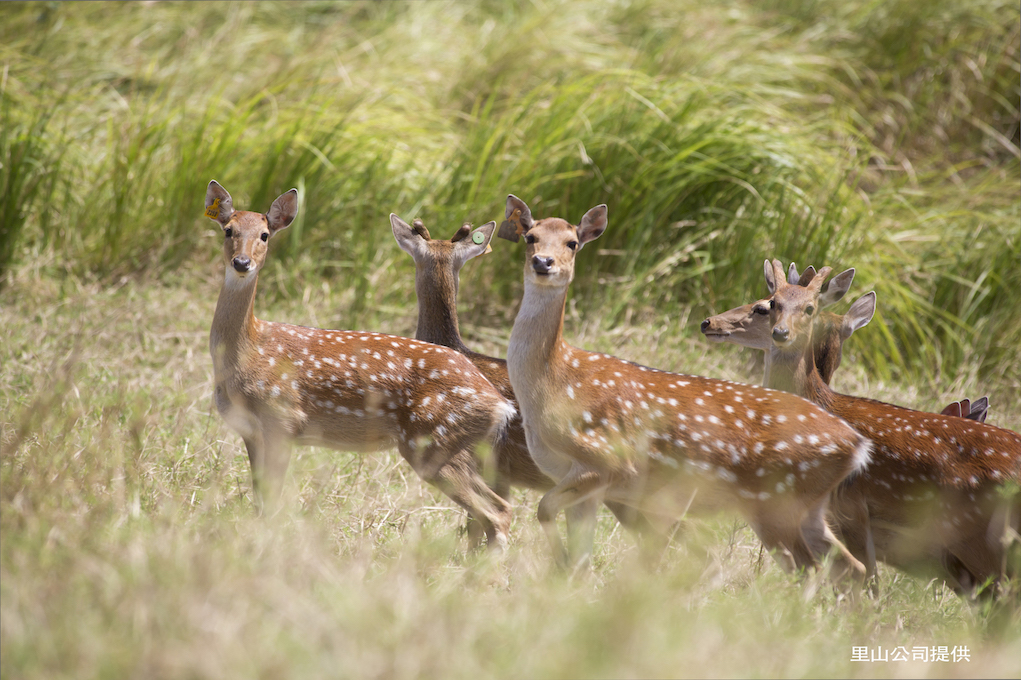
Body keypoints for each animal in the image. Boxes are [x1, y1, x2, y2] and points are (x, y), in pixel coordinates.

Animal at [205, 180, 518, 550]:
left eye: (265, 235)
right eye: (228, 230)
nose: (241, 263)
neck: (249, 351)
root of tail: (499, 404)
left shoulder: (282, 418)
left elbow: (272, 501)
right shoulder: (250, 432)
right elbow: (260, 501)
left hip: (433, 442)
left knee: (496, 511)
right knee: (496, 509)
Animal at [500, 194, 873, 578]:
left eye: (572, 243)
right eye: (530, 237)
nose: (543, 262)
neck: (555, 384)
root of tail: (858, 445)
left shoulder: (607, 461)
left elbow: (544, 509)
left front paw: (557, 562)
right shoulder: (580, 482)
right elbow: (579, 558)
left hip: (778, 503)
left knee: (811, 568)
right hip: (809, 509)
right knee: (852, 566)